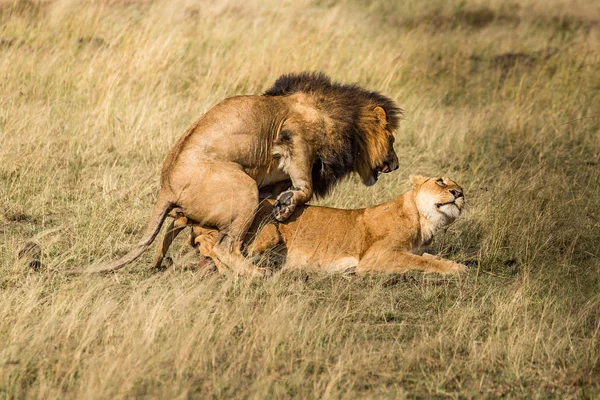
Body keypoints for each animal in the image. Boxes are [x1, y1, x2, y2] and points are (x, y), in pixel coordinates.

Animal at [85, 72, 404, 276]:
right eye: (391, 139)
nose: (396, 164)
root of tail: (166, 187)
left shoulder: (273, 179)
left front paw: (283, 205)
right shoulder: (296, 137)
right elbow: (306, 186)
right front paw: (287, 206)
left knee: (177, 224)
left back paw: (162, 261)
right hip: (244, 187)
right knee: (225, 247)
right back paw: (256, 274)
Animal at [171, 175, 466, 276]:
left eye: (460, 186)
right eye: (441, 181)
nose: (459, 193)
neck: (423, 222)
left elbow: (429, 257)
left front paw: (454, 264)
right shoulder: (376, 257)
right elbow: (421, 262)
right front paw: (455, 270)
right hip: (264, 229)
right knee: (218, 248)